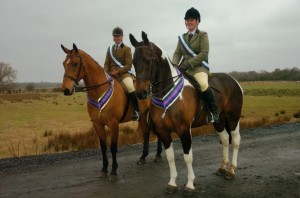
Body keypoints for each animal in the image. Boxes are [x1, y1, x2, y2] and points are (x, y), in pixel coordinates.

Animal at [60, 43, 162, 179]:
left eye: (75, 64)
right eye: (64, 63)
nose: (66, 90)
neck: (99, 92)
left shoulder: (113, 124)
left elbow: (113, 147)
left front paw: (113, 170)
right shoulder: (97, 124)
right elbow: (103, 147)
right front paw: (104, 169)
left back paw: (158, 155)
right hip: (142, 115)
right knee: (145, 132)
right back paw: (143, 157)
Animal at [130, 31, 243, 194]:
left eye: (148, 60)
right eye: (133, 62)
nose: (140, 93)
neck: (165, 93)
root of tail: (233, 80)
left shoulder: (184, 129)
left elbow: (188, 157)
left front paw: (190, 185)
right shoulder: (163, 131)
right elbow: (170, 157)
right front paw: (172, 183)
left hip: (233, 118)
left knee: (235, 140)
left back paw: (231, 171)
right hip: (219, 121)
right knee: (225, 139)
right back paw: (222, 168)